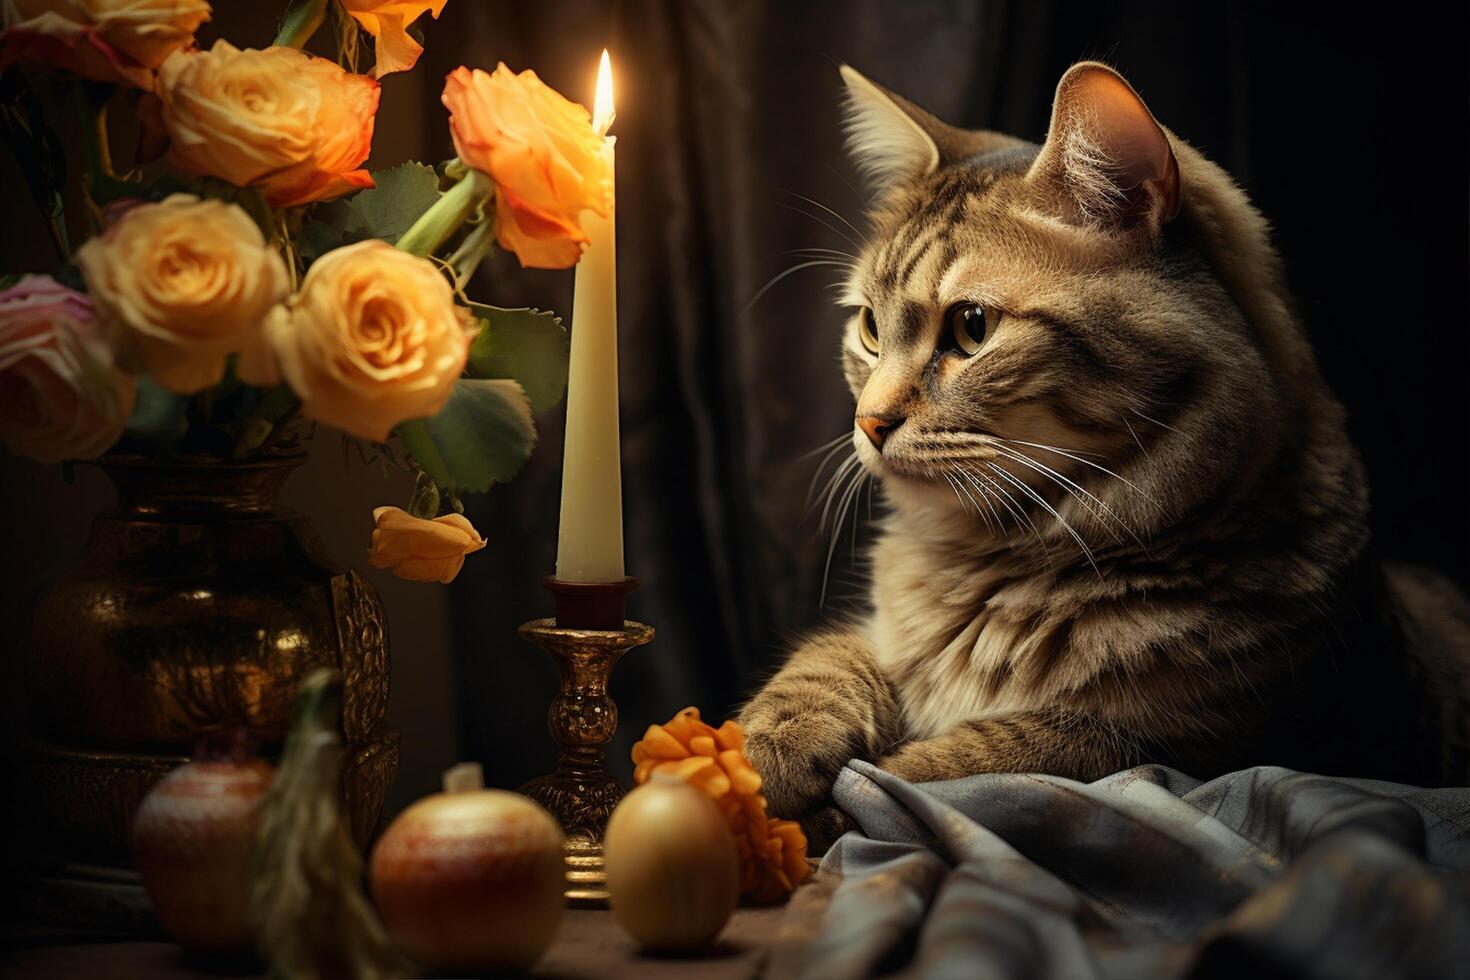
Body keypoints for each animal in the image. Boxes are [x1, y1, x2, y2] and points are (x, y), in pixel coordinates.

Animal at [740, 61, 1470, 846]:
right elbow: (824, 659)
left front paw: (843, 799)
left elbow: (978, 757)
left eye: (972, 327)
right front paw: (763, 747)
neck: (995, 560)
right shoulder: (877, 635)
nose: (868, 421)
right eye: (871, 328)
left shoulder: (1181, 743)